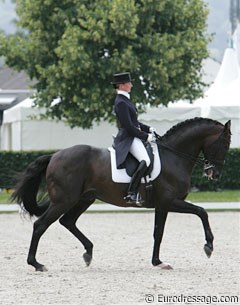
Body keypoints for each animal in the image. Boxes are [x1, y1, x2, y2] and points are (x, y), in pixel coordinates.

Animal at [11, 117, 231, 270]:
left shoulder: (162, 205)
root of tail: (55, 155)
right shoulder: (170, 201)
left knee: (68, 221)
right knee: (41, 225)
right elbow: (202, 212)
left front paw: (158, 262)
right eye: (225, 143)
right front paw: (209, 246)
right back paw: (36, 264)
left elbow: (158, 233)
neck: (173, 156)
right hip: (64, 201)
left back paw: (88, 252)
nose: (214, 173)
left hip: (84, 199)